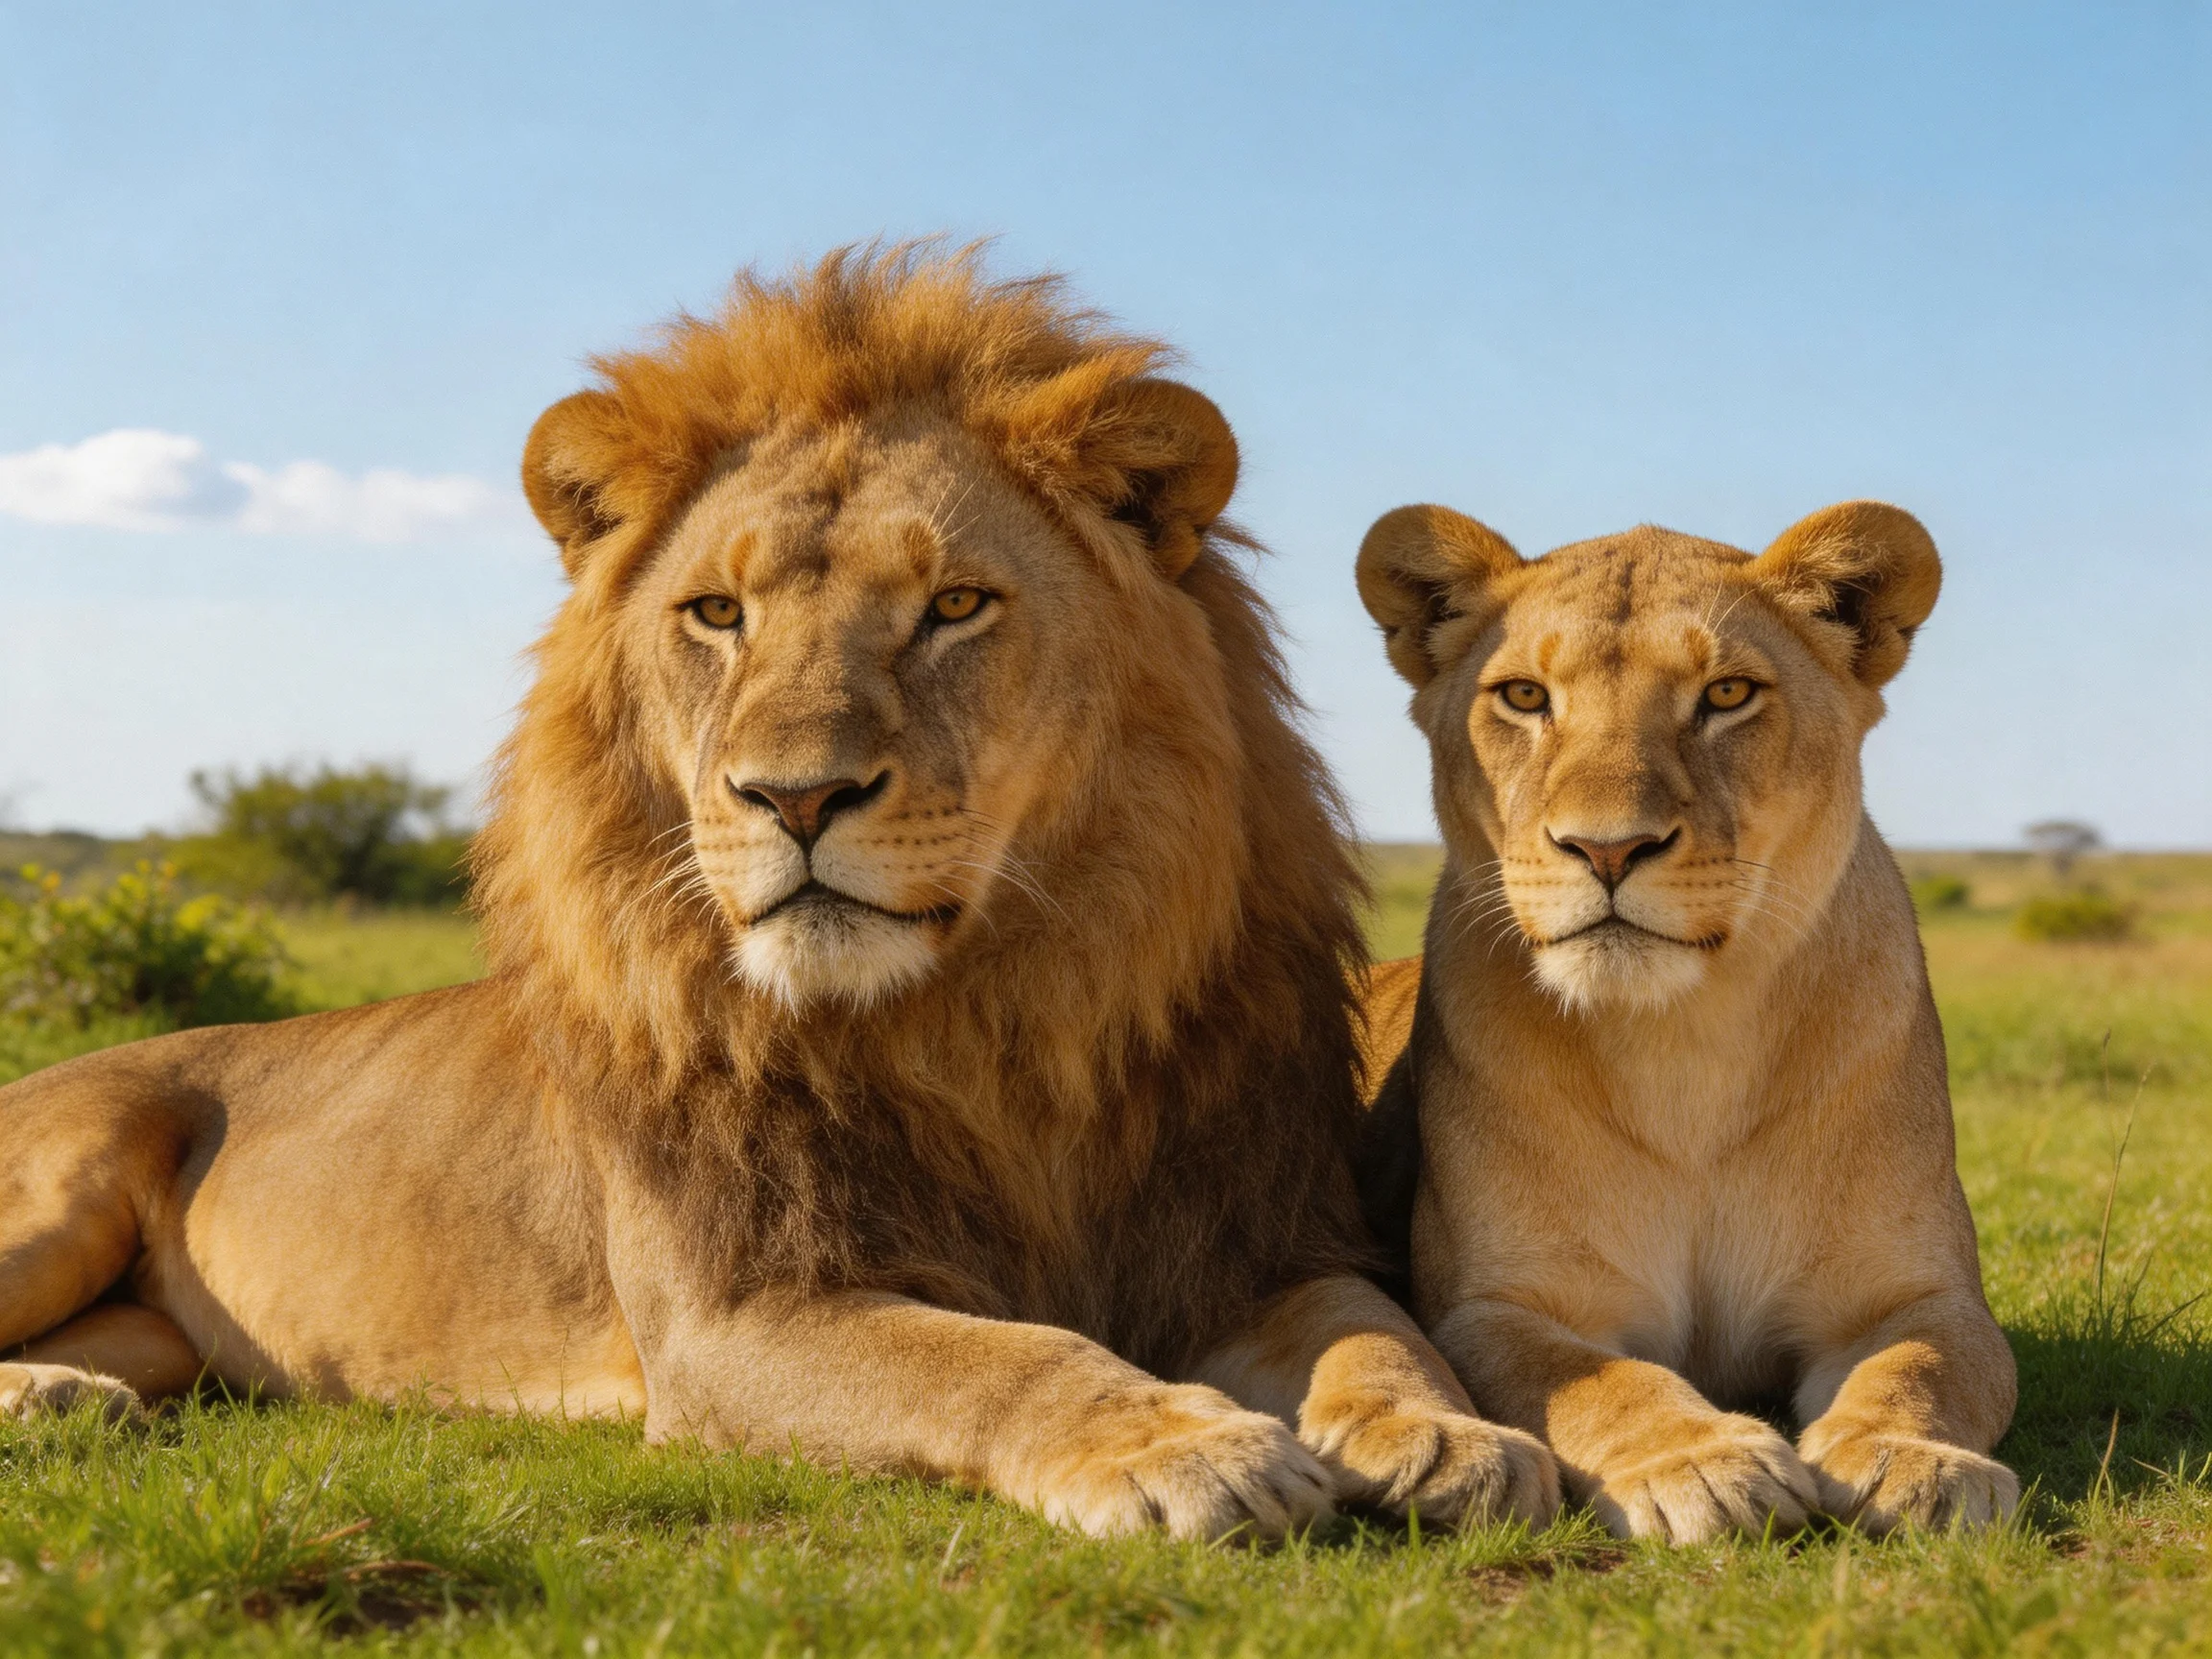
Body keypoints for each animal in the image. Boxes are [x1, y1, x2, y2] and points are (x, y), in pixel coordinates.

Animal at [0, 246, 1558, 1540]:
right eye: (717, 615)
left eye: (953, 607)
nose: (796, 799)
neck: (994, 1024)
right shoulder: (732, 1318)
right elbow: (995, 1357)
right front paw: (1183, 1447)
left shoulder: (1250, 1237)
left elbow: (1375, 1330)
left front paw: (1453, 1437)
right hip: (63, 1183)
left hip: (156, 1330)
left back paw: (67, 1398)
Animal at [1352, 500, 2018, 1542]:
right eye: (1525, 696)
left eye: (1728, 693)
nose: (1607, 849)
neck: (1683, 1043)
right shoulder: (1497, 1307)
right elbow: (1603, 1382)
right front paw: (1702, 1464)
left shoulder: (1923, 1295)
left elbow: (1918, 1369)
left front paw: (1910, 1462)